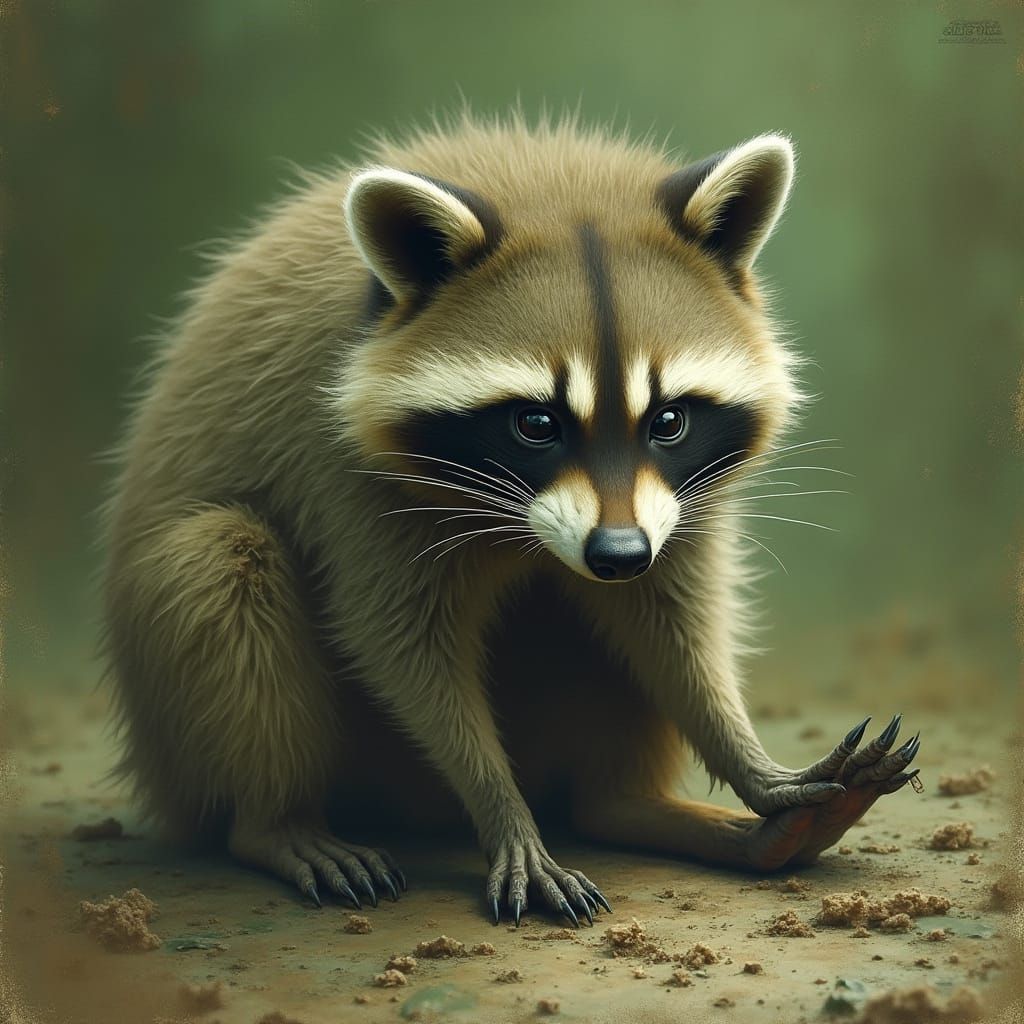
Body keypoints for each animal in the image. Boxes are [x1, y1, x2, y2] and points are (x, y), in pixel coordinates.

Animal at [101, 113, 920, 925]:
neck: (549, 183)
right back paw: (276, 819)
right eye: (536, 423)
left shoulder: (681, 503)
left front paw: (746, 756)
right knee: (219, 563)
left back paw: (644, 810)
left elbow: (676, 624)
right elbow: (396, 642)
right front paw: (502, 810)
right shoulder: (343, 472)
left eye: (669, 421)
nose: (617, 553)